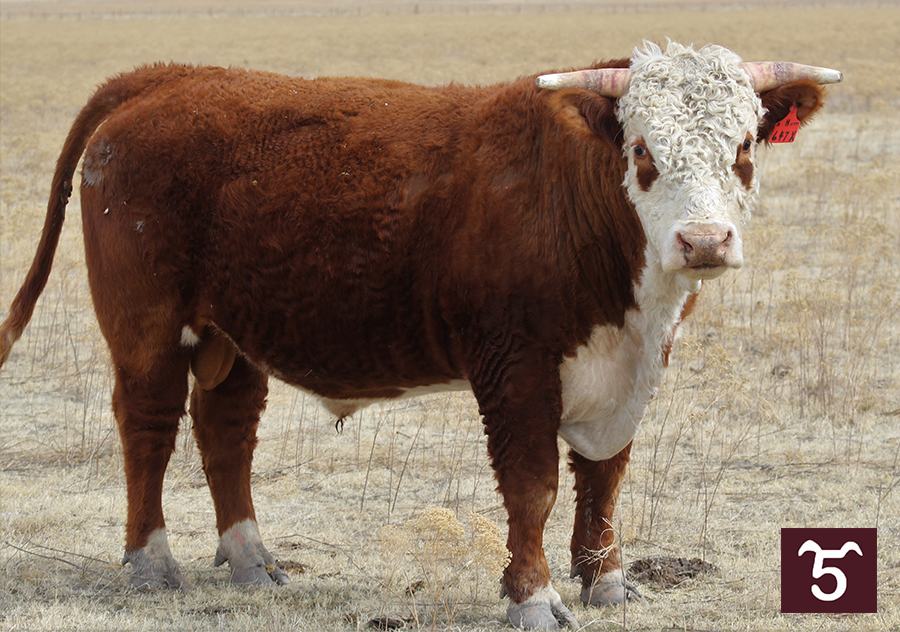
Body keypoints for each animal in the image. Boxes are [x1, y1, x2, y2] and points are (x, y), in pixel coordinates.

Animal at [0, 41, 840, 629]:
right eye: (641, 152)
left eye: (745, 147)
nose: (704, 241)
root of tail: (169, 77)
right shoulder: (514, 368)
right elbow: (533, 485)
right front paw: (534, 598)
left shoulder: (631, 368)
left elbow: (604, 478)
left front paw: (607, 582)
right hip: (147, 326)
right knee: (148, 428)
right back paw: (151, 563)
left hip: (233, 335)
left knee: (225, 432)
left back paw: (250, 558)